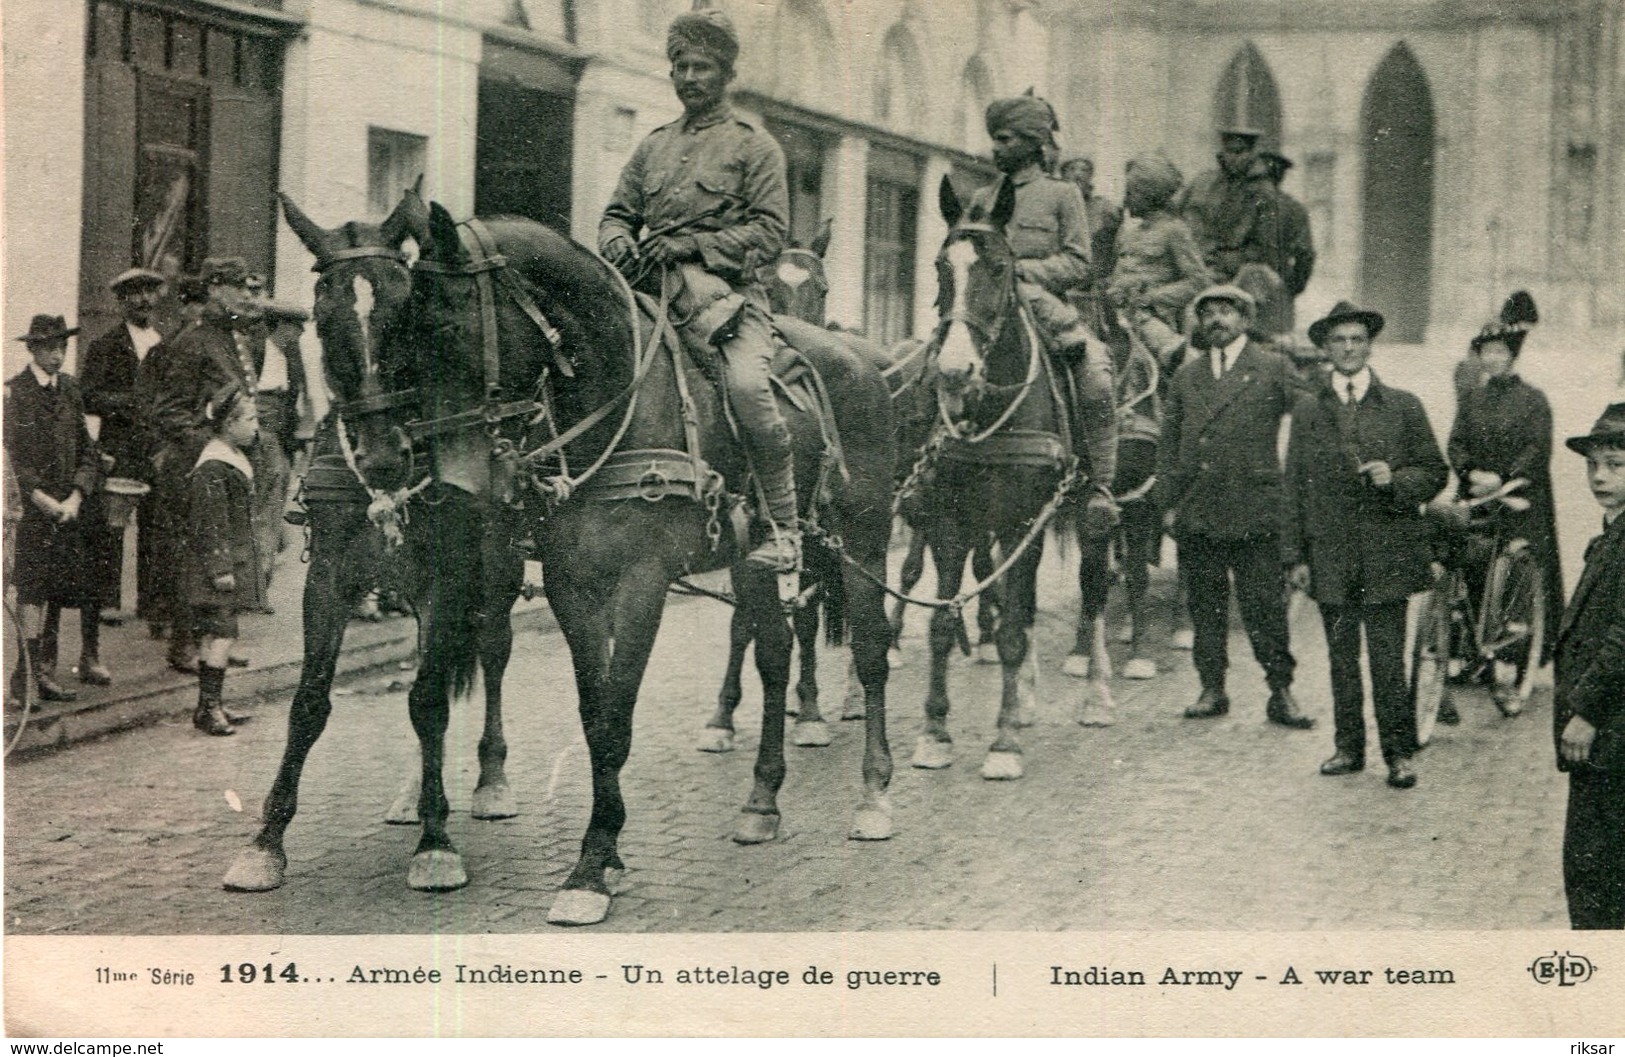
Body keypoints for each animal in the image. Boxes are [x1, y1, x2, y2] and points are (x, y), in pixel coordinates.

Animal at [321, 200, 897, 923]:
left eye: (441, 328)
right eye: (401, 334)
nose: (446, 482)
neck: (616, 400)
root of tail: (864, 360)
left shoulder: (642, 585)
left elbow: (617, 717)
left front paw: (592, 867)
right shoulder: (573, 586)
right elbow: (595, 716)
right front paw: (605, 852)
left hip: (864, 537)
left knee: (872, 652)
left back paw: (873, 795)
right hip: (753, 564)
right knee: (773, 653)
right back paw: (761, 802)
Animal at [903, 177, 1105, 777]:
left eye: (997, 267)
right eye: (941, 267)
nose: (953, 371)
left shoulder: (1024, 525)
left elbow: (1013, 631)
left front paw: (1005, 741)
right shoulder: (949, 523)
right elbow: (942, 625)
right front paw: (935, 732)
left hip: (1095, 520)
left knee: (1093, 591)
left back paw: (1094, 696)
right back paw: (1031, 698)